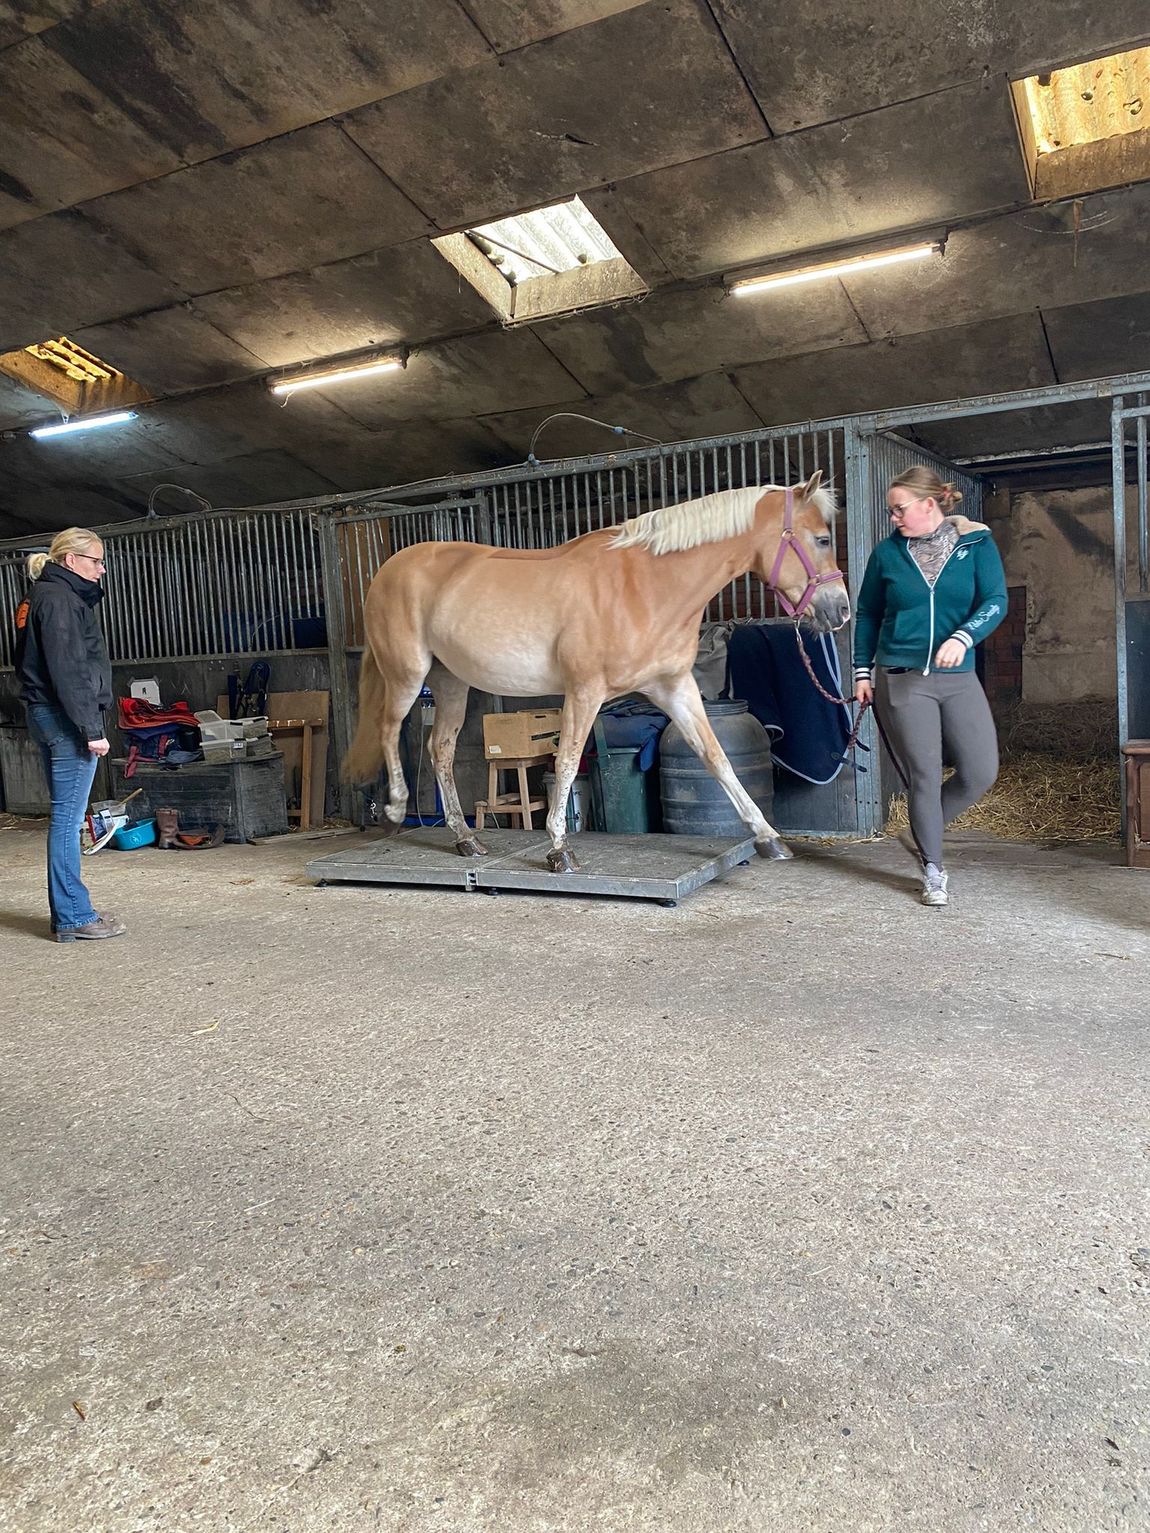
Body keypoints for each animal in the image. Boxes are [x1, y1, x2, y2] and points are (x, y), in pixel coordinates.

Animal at [344, 472, 850, 872]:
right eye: (822, 539)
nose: (841, 610)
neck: (645, 586)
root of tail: (387, 571)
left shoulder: (674, 687)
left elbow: (716, 757)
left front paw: (768, 837)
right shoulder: (584, 691)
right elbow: (566, 761)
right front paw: (559, 848)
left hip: (451, 682)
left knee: (441, 750)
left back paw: (466, 839)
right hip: (408, 675)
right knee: (389, 730)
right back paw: (394, 810)